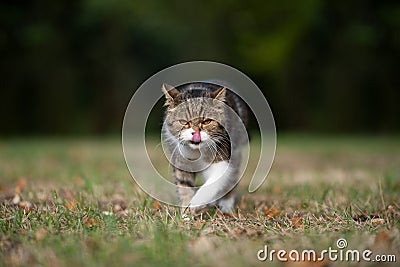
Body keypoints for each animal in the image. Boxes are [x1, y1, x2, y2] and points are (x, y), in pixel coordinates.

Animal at [161, 81, 248, 216]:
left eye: (207, 121)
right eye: (183, 122)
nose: (195, 133)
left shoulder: (222, 156)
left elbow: (214, 181)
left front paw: (197, 202)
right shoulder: (181, 160)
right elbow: (184, 186)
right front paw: (186, 214)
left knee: (231, 180)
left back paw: (226, 206)